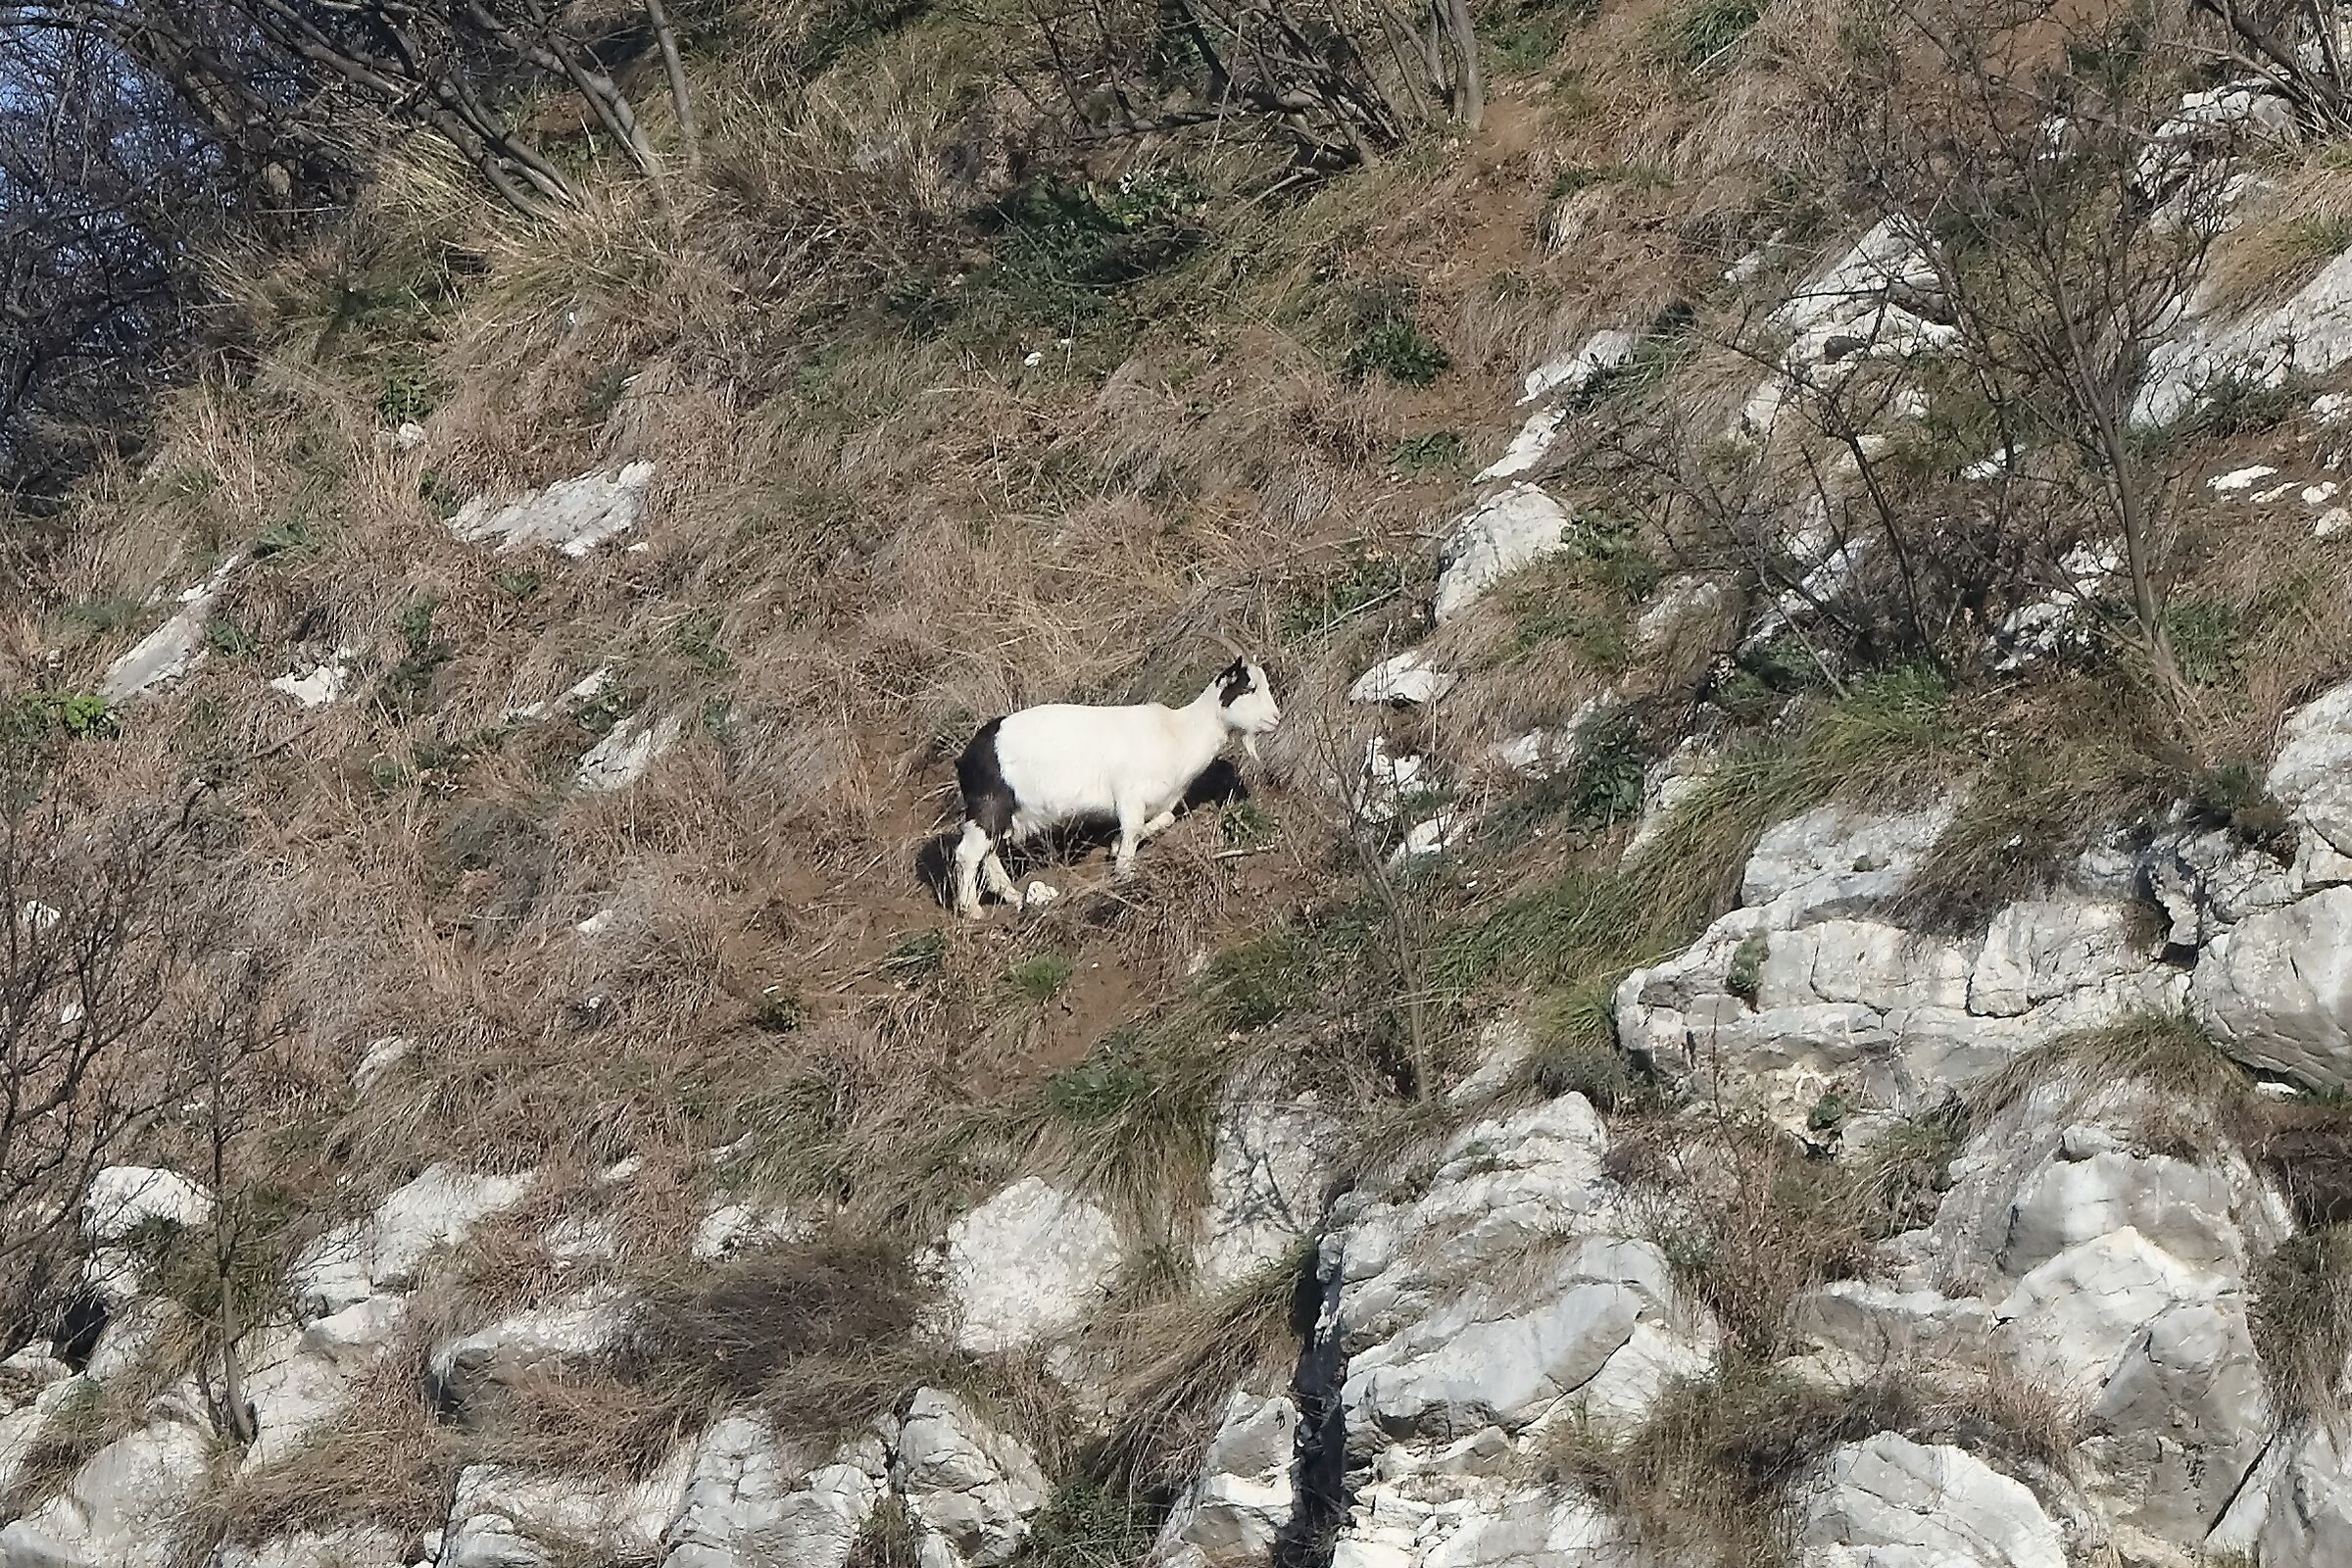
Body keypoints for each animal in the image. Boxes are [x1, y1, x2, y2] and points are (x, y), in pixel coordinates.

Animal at [952, 658, 1281, 917]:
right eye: (1249, 688)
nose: (1275, 718)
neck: (1178, 733)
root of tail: (967, 758)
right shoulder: (1129, 795)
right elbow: (1133, 829)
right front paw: (1124, 871)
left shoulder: (1164, 801)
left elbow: (1165, 819)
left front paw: (1113, 847)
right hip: (990, 806)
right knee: (967, 854)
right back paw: (972, 909)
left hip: (1005, 816)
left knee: (989, 853)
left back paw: (1012, 895)